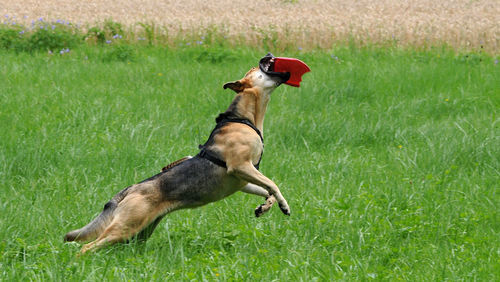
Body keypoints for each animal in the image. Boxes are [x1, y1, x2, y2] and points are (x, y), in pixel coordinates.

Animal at [65, 53, 294, 253]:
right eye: (255, 69)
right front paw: (284, 206)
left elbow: (268, 190)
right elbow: (274, 184)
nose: (267, 55)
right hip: (124, 228)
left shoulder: (243, 180)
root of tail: (130, 190)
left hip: (138, 233)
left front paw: (266, 206)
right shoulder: (240, 166)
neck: (243, 119)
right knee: (85, 248)